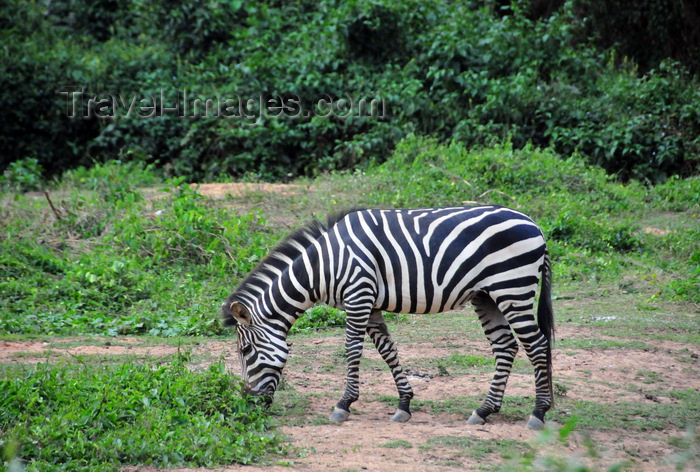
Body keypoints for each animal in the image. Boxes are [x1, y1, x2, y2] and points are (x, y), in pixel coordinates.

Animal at [221, 205, 556, 430]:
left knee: (537, 345)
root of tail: (535, 225)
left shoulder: (358, 295)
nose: (249, 403)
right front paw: (404, 404)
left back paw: (539, 412)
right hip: (486, 295)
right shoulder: (369, 304)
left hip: (512, 287)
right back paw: (484, 410)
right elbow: (387, 350)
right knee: (506, 347)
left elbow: (352, 350)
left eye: (245, 351)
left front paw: (343, 404)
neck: (323, 266)